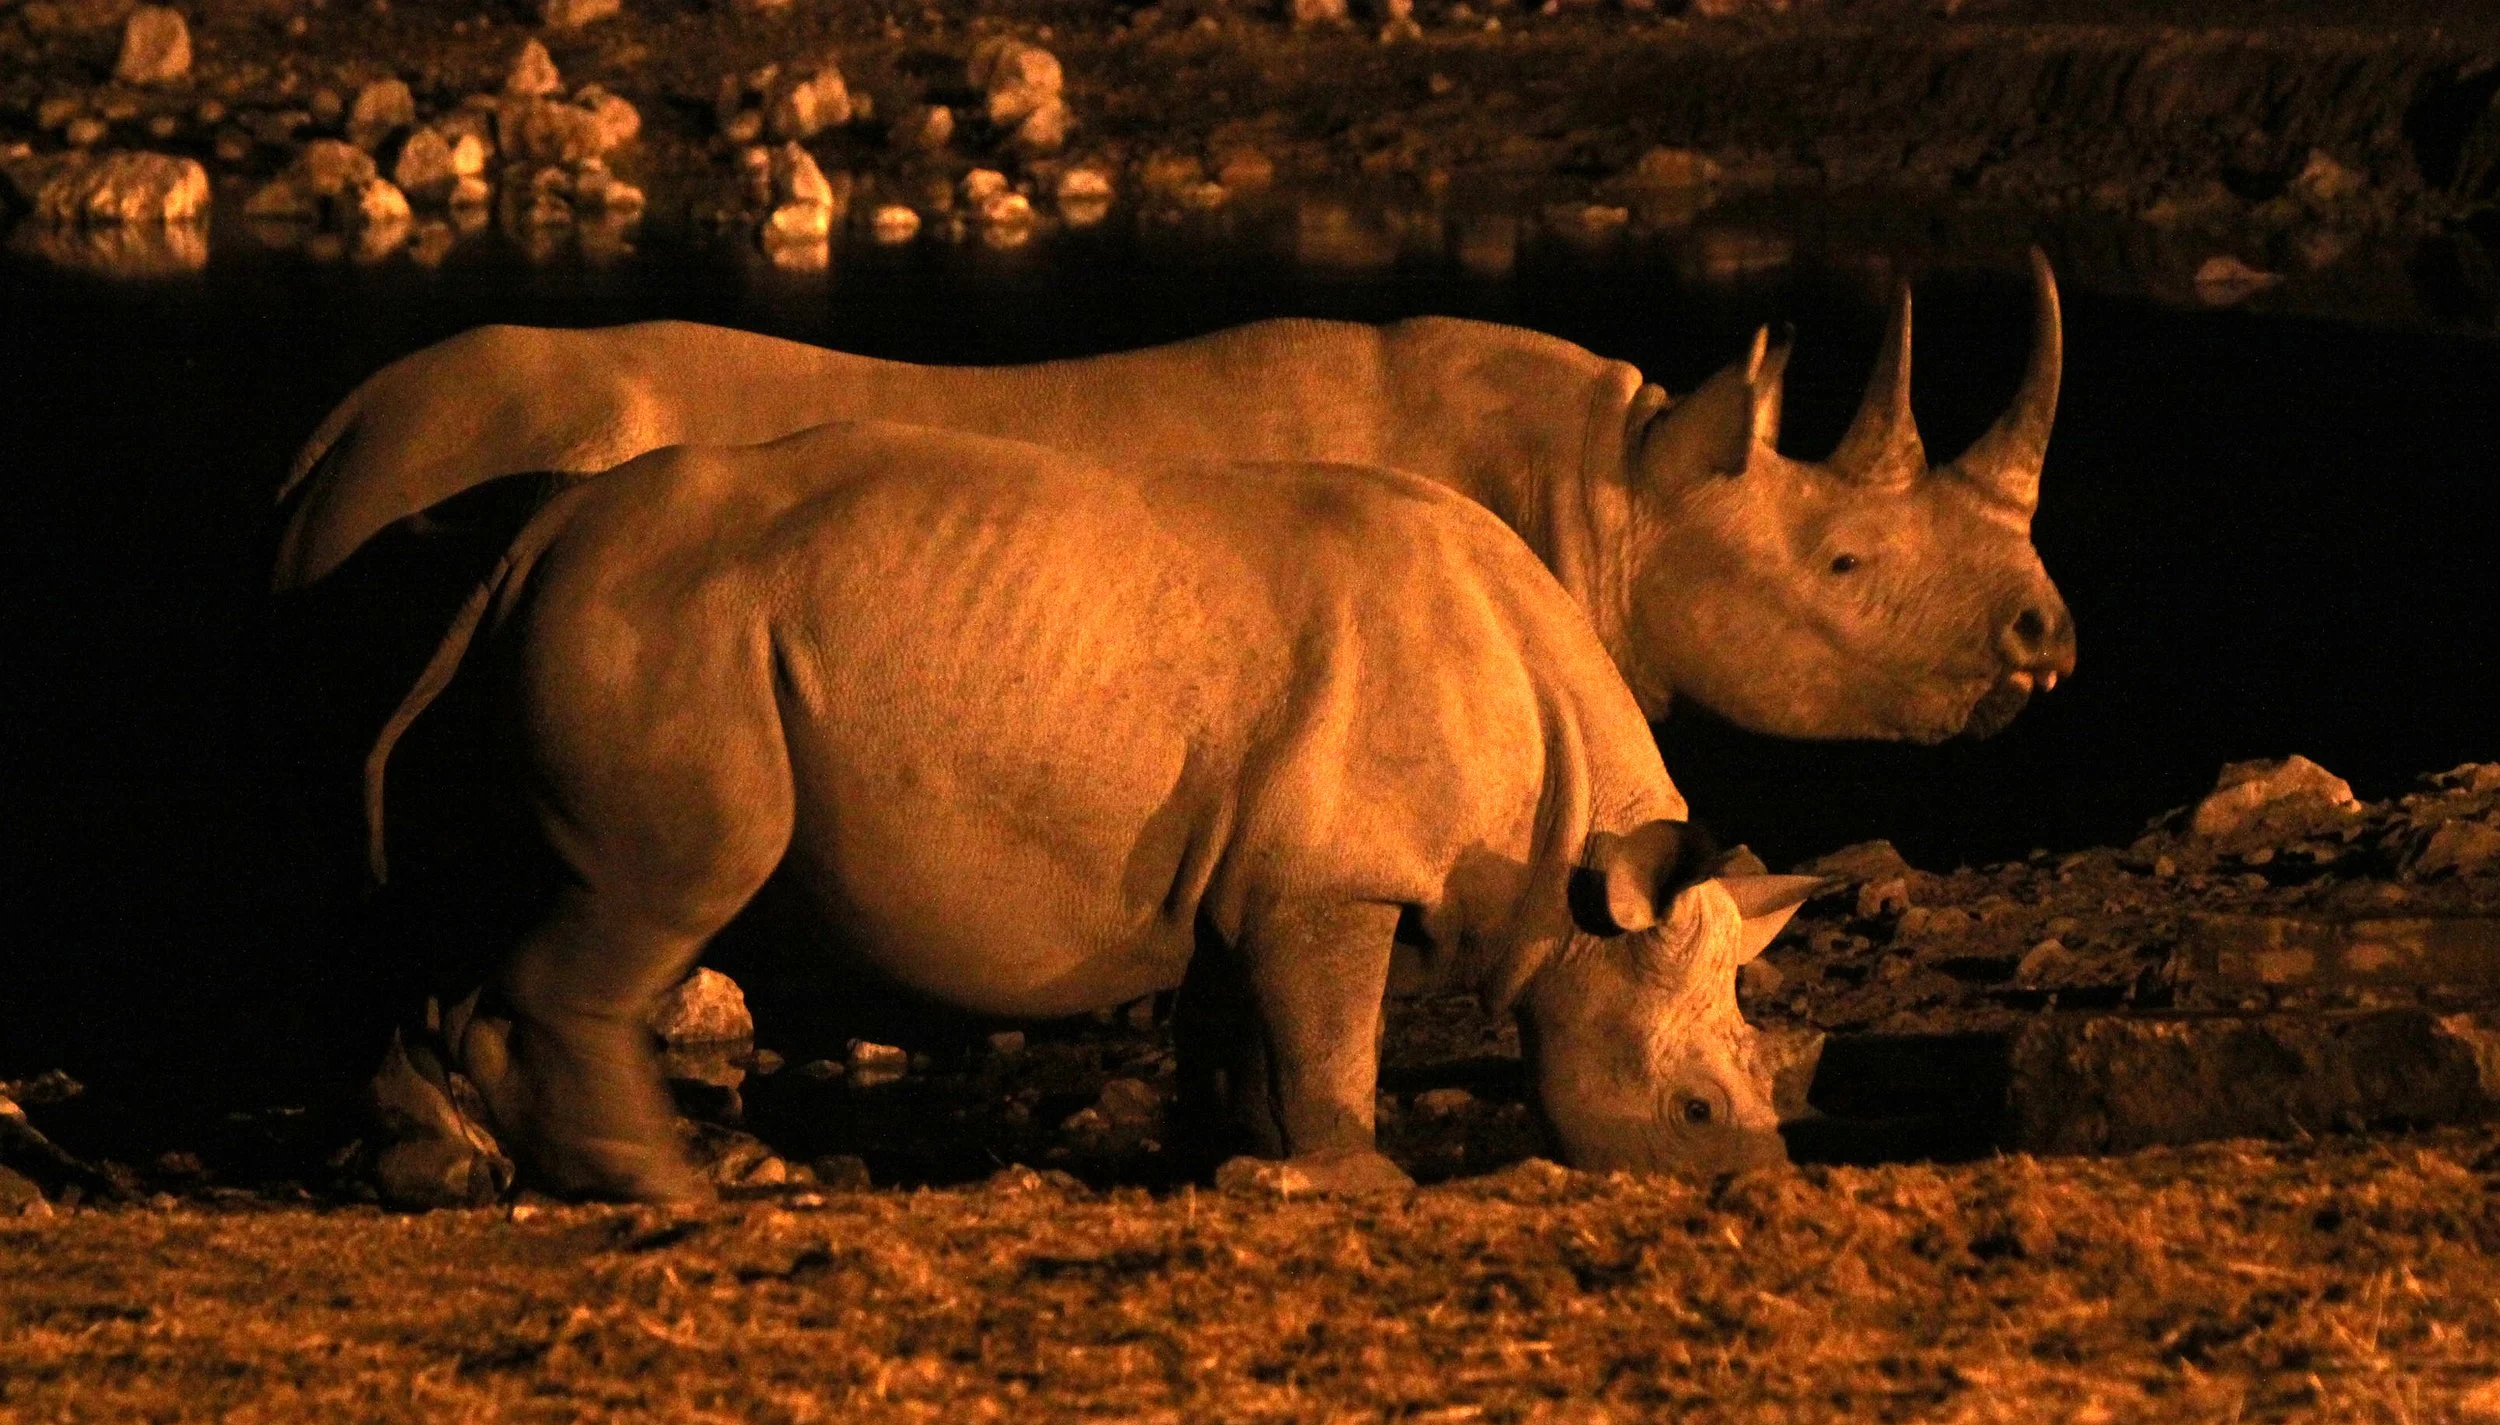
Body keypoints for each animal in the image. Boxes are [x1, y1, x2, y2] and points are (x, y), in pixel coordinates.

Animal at [363, 421, 1821, 1203]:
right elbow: (1330, 1037)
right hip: (671, 629)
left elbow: (1240, 1034)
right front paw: (1363, 1183)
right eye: (1694, 1111)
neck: (1572, 866)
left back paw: (470, 1170)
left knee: (487, 882)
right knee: (664, 888)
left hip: (621, 620)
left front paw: (1240, 1163)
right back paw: (672, 1186)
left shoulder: (1250, 872)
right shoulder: (1328, 879)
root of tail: (534, 545)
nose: (1759, 1187)